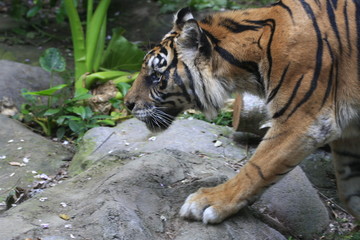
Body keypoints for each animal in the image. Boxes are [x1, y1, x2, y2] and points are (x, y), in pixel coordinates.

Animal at [124, 0, 360, 224]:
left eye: (156, 75)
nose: (127, 104)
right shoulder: (348, 136)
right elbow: (349, 192)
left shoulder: (303, 121)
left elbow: (257, 167)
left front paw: (210, 202)